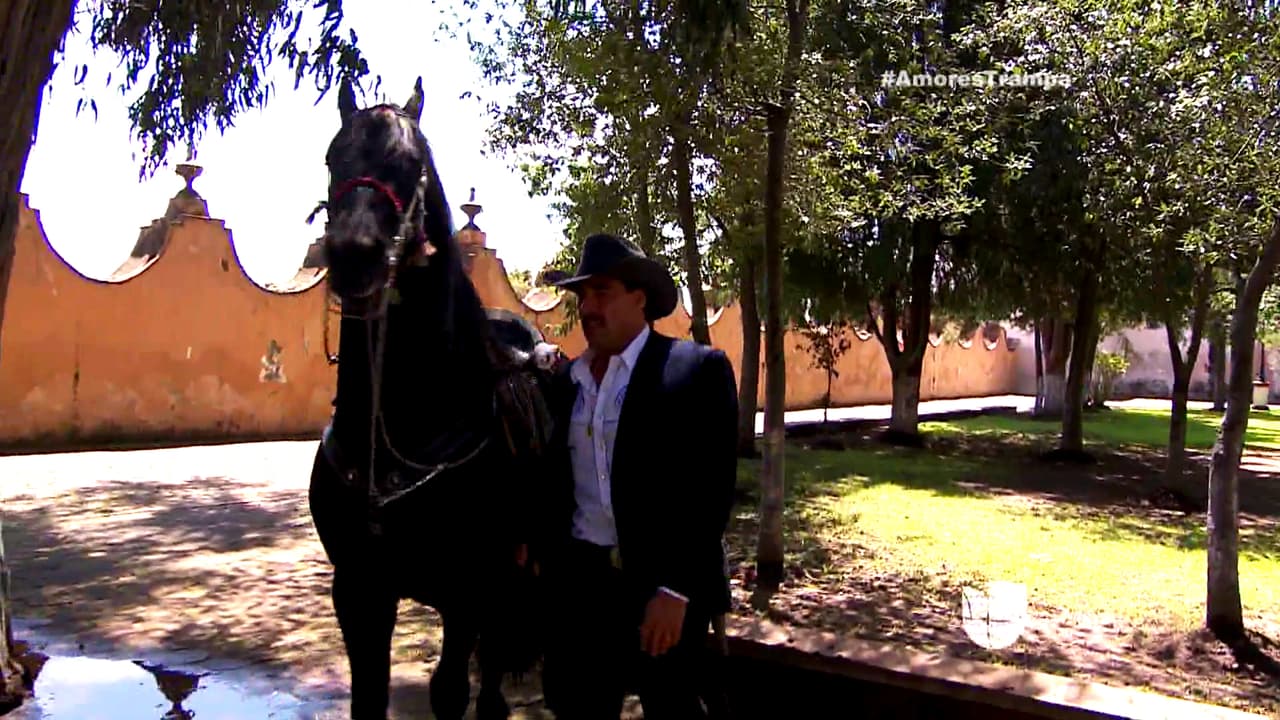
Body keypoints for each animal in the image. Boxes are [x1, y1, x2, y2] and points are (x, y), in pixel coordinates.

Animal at [307, 75, 557, 720]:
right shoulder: (359, 589)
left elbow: (449, 692)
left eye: (410, 163)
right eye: (332, 158)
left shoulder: (465, 590)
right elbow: (367, 698)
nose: (354, 254)